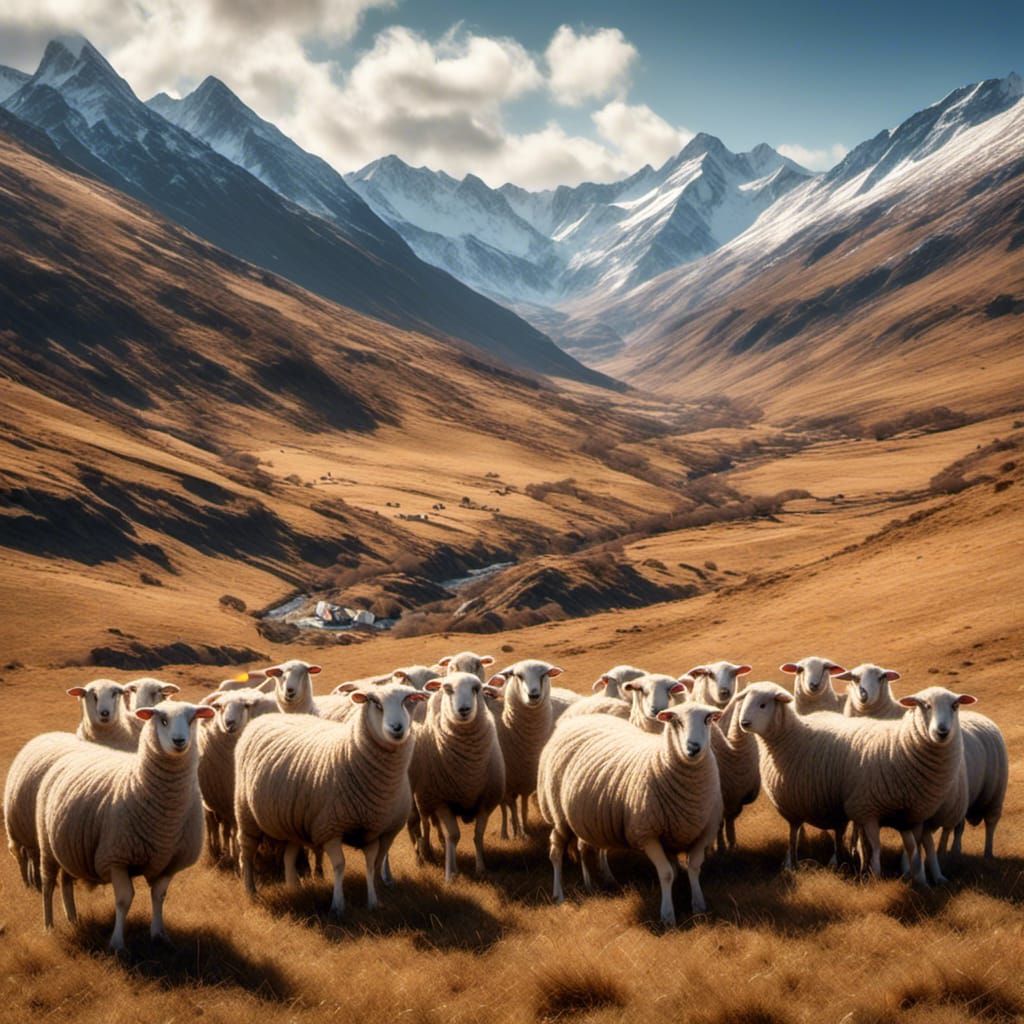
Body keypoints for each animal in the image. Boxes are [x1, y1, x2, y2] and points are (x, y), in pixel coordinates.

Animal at [35, 701, 215, 951]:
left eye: (192, 719)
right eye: (162, 720)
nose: (179, 741)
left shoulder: (169, 863)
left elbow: (159, 897)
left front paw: (159, 935)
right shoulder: (115, 858)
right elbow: (123, 900)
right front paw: (118, 943)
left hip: (67, 846)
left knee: (66, 882)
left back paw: (72, 919)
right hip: (46, 845)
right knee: (48, 884)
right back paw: (49, 926)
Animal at [234, 683, 427, 916]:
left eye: (408, 701)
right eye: (376, 703)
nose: (397, 727)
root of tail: (263, 718)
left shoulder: (374, 828)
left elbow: (371, 865)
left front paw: (372, 902)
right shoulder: (330, 828)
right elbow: (339, 865)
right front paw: (338, 905)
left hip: (291, 820)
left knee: (288, 855)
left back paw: (294, 888)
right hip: (245, 813)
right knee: (247, 852)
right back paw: (250, 890)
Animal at [407, 672, 505, 881]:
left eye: (477, 688)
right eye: (448, 689)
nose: (464, 709)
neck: (469, 770)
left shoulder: (486, 801)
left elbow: (478, 835)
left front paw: (481, 868)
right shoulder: (442, 801)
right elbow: (453, 836)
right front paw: (451, 873)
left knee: (432, 825)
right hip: (419, 798)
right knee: (420, 824)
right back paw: (423, 854)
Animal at [487, 659, 561, 839]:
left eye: (544, 674)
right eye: (518, 676)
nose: (533, 695)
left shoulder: (527, 781)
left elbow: (524, 807)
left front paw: (525, 829)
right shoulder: (508, 784)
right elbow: (510, 808)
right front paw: (514, 832)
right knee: (505, 806)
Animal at [537, 702, 723, 924]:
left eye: (707, 720)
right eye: (676, 721)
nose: (693, 748)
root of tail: (579, 719)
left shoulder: (704, 833)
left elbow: (693, 868)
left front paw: (698, 906)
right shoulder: (646, 834)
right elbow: (666, 873)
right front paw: (667, 915)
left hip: (588, 818)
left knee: (585, 847)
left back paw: (594, 883)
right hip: (559, 815)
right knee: (556, 852)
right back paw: (559, 895)